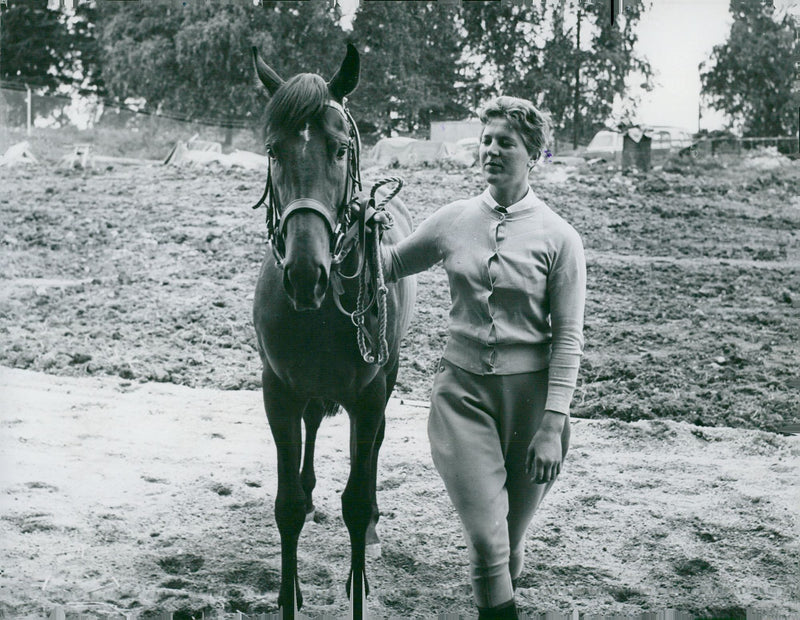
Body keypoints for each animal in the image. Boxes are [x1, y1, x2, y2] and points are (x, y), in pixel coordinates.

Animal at [250, 44, 416, 620]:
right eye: (274, 150)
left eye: (341, 149)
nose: (305, 273)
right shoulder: (278, 390)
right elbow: (286, 506)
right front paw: (289, 593)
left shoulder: (369, 395)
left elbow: (357, 501)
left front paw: (359, 583)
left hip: (386, 378)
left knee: (371, 453)